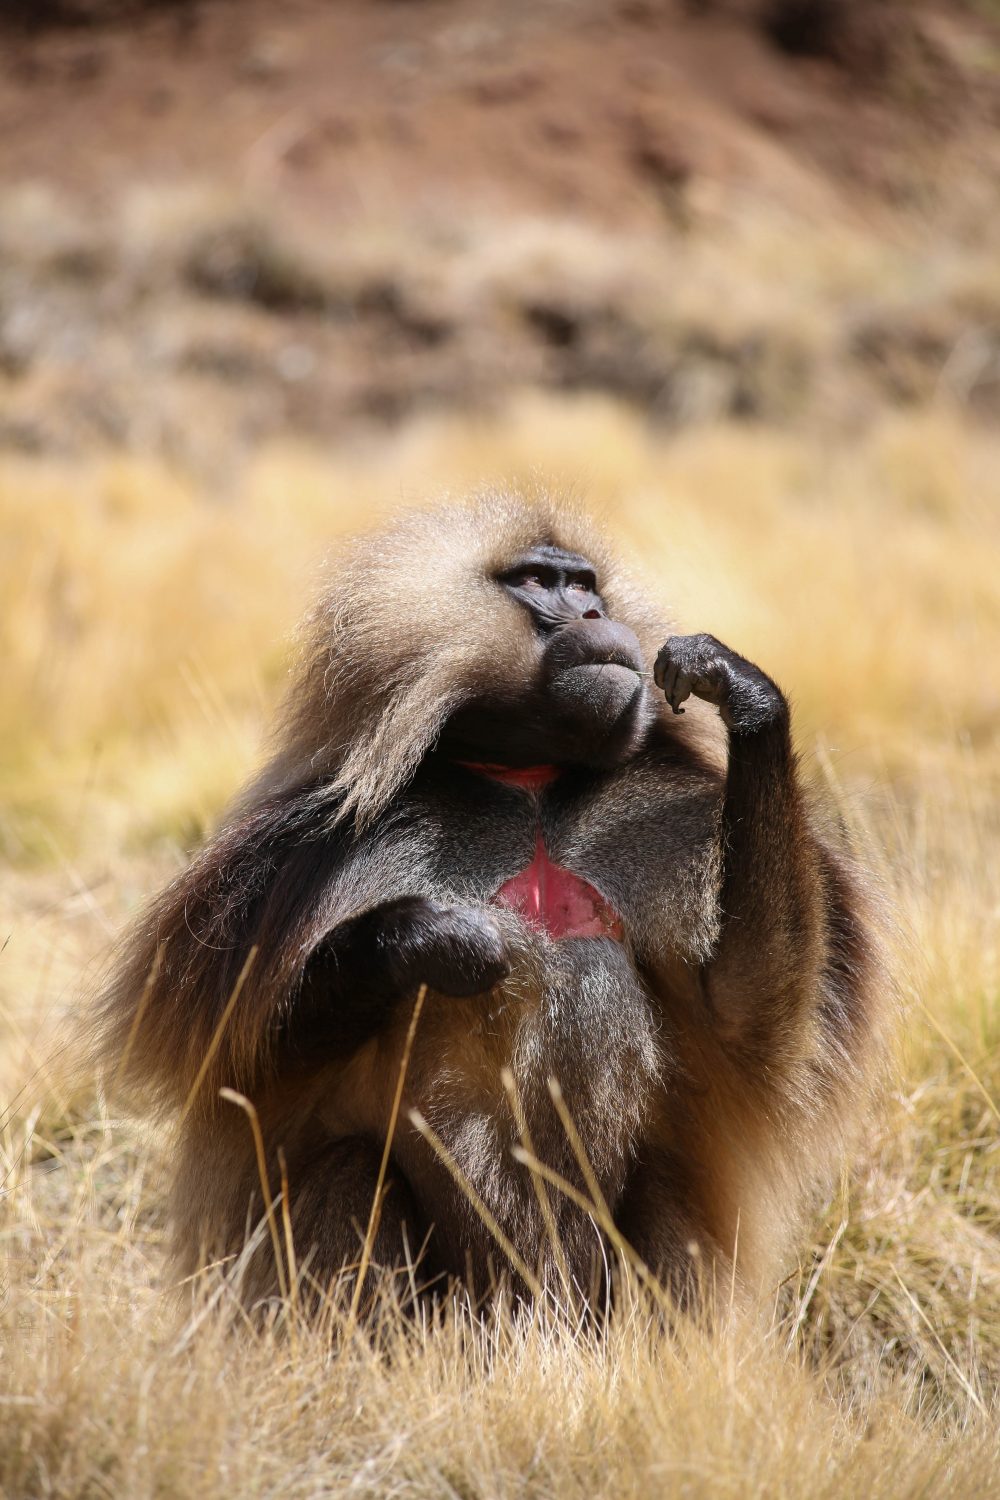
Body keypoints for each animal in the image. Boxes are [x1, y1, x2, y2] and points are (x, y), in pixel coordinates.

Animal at [95, 492, 886, 1316]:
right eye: (540, 581)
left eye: (587, 583)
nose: (596, 614)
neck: (527, 783)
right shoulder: (297, 856)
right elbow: (237, 1055)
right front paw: (430, 940)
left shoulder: (666, 806)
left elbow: (745, 1016)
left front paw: (743, 693)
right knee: (350, 1171)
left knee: (662, 1191)